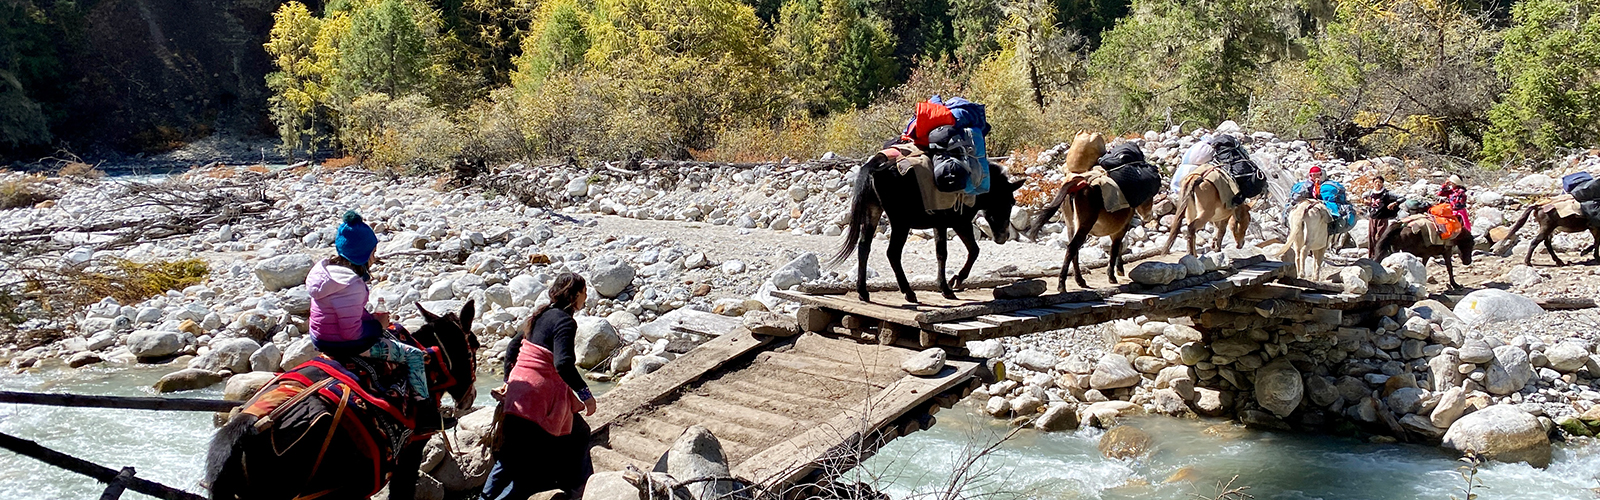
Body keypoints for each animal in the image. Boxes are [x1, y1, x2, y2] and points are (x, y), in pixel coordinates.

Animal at [832, 152, 1017, 302]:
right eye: (1009, 202)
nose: (1004, 236)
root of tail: (875, 167)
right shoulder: (961, 223)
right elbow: (974, 250)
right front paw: (956, 281)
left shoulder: (940, 225)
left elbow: (941, 254)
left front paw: (945, 287)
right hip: (900, 223)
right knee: (892, 253)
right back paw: (908, 292)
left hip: (873, 213)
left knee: (864, 247)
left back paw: (863, 292)